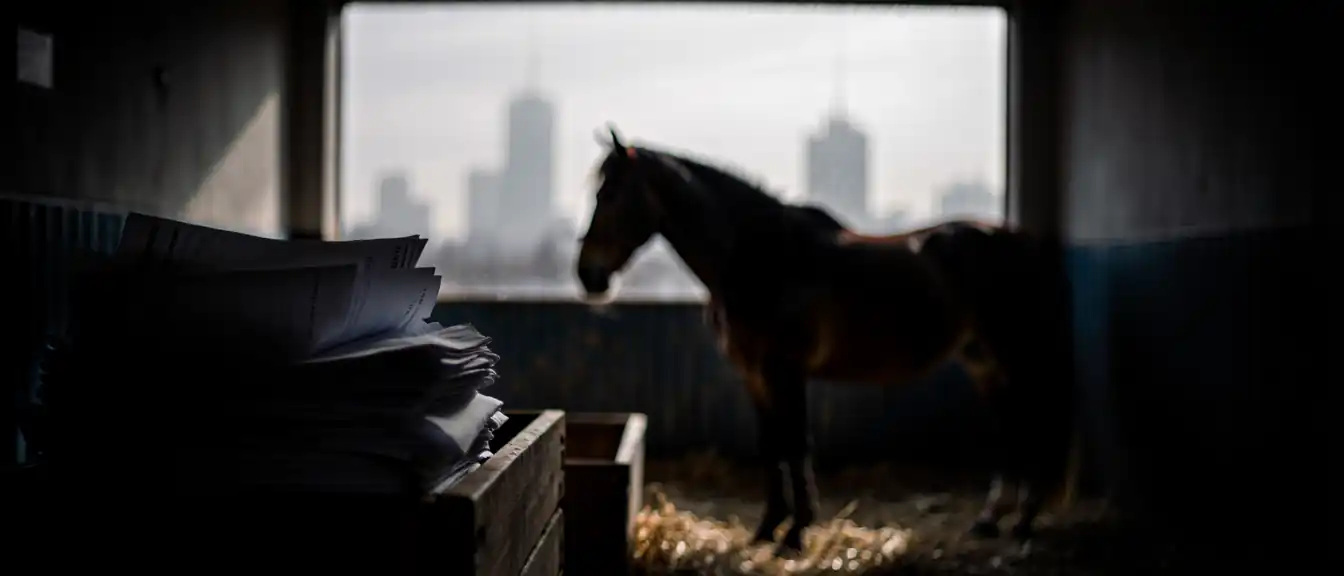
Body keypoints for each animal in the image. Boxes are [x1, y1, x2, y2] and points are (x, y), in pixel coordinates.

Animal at [576, 128, 1076, 555]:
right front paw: (766, 529)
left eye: (610, 194)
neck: (759, 260)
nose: (588, 275)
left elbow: (797, 444)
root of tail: (1018, 241)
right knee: (1011, 428)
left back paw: (1024, 523)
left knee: (1036, 424)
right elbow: (771, 445)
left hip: (1016, 355)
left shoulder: (785, 371)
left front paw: (795, 533)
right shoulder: (754, 375)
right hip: (983, 360)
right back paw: (991, 519)